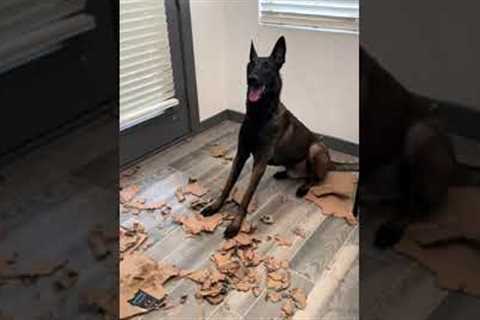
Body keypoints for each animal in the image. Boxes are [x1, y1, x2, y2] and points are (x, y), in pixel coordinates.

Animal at [202, 37, 356, 238]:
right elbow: (228, 184)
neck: (259, 115)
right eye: (251, 65)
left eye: (267, 67)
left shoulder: (259, 162)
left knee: (316, 178)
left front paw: (235, 224)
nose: (252, 79)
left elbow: (246, 196)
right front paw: (215, 206)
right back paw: (283, 173)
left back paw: (304, 187)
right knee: (298, 174)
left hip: (316, 149)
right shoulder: (240, 155)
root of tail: (331, 162)